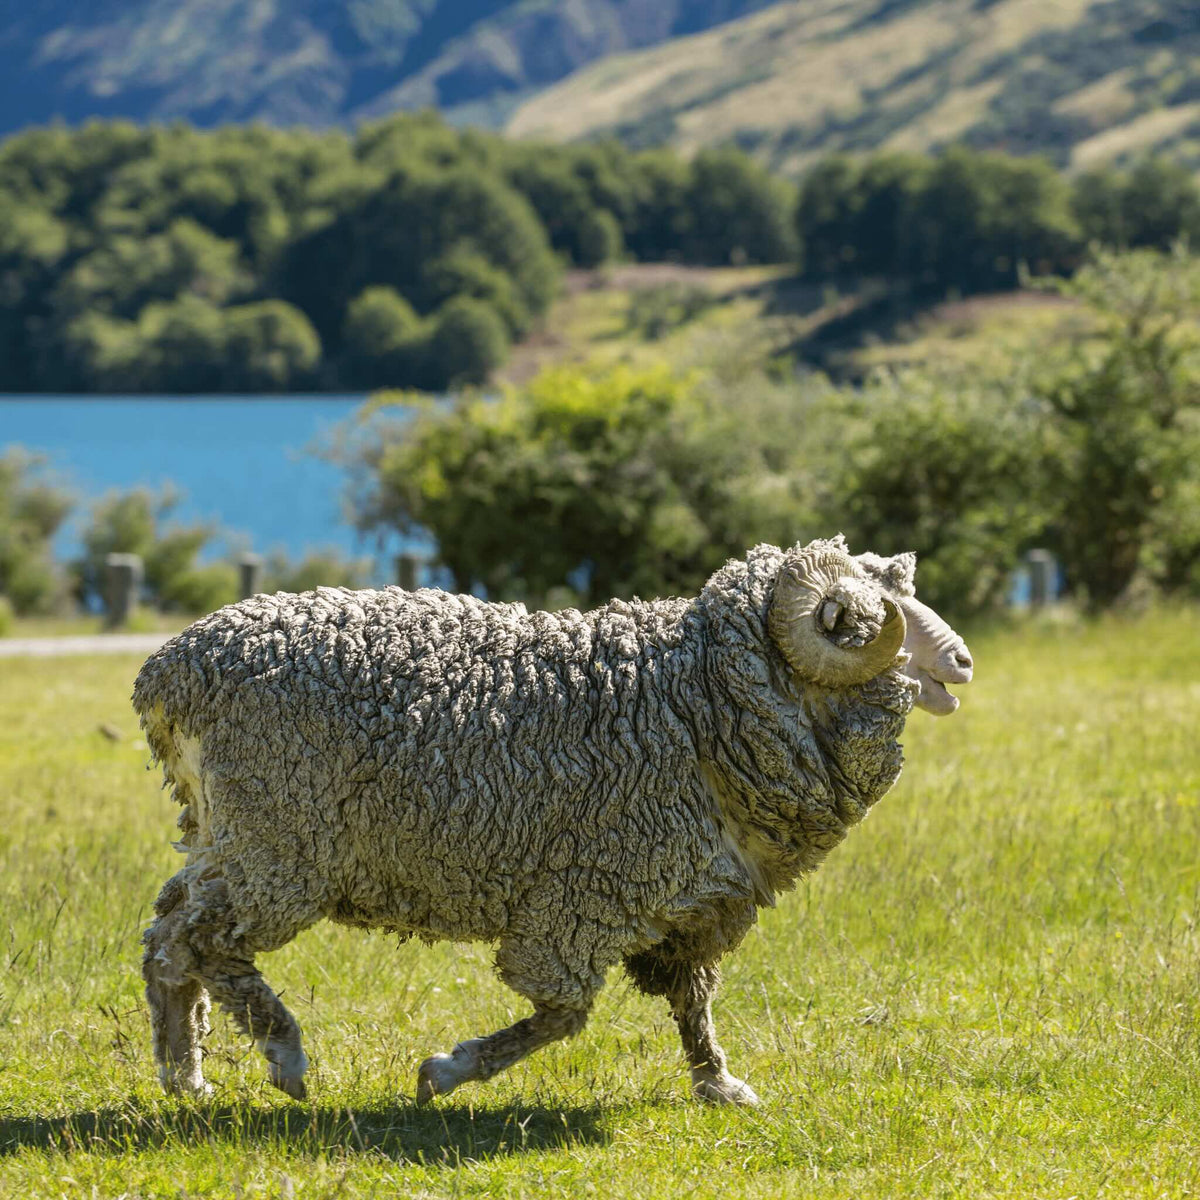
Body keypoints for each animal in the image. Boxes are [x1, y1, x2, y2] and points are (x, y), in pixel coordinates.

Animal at [135, 536, 971, 1106]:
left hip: (225, 835)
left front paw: (719, 1083)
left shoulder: (699, 902)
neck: (695, 699)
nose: (962, 661)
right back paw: (283, 1055)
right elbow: (565, 1010)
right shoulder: (584, 892)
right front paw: (446, 1071)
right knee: (208, 940)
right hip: (280, 846)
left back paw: (184, 1074)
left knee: (170, 934)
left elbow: (692, 1001)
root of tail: (171, 673)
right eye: (866, 617)